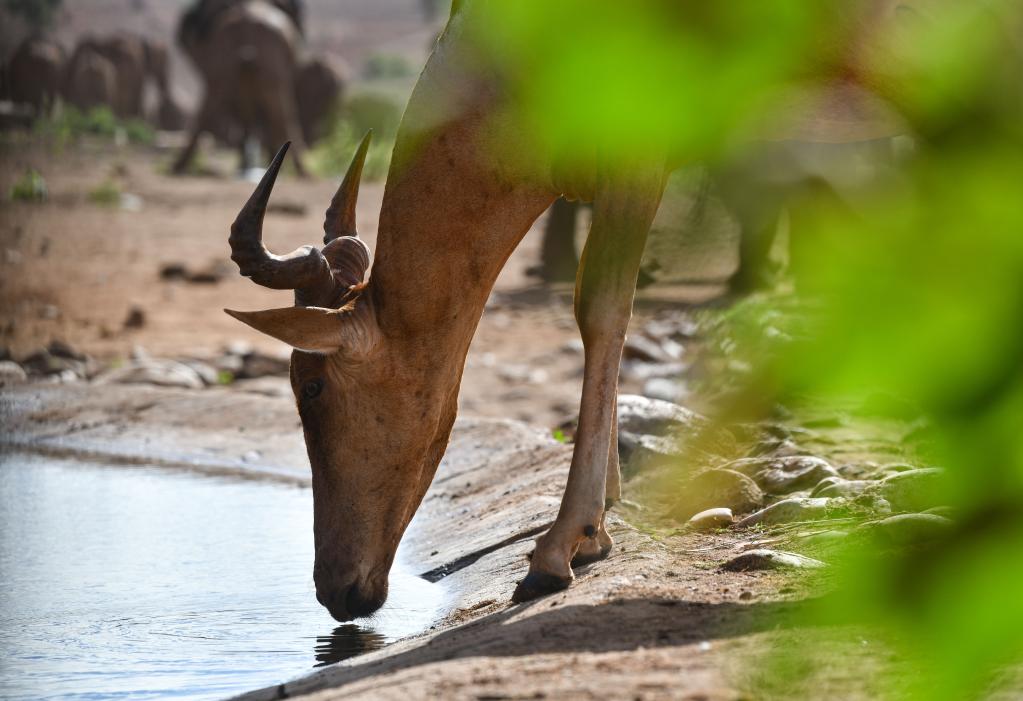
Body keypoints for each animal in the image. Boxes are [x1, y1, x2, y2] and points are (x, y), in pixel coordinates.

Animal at [224, 0, 965, 614]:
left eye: (312, 384)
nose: (337, 593)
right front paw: (600, 525)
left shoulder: (641, 148)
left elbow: (599, 305)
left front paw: (556, 552)